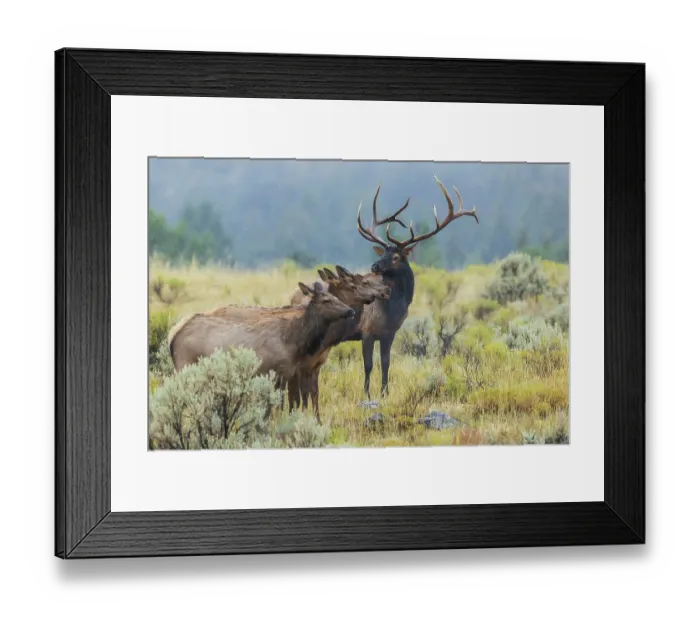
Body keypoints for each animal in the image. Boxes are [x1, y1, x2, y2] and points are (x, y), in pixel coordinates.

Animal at [168, 282, 355, 409]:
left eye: (336, 297)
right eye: (326, 300)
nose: (351, 310)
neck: (295, 341)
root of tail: (172, 335)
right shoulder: (276, 372)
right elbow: (279, 406)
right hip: (185, 365)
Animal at [286, 266, 391, 421]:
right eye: (360, 283)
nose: (386, 290)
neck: (326, 340)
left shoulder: (316, 364)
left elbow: (313, 391)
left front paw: (317, 419)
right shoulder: (302, 365)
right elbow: (302, 393)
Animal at [352, 175, 479, 400]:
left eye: (395, 256)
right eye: (383, 253)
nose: (374, 266)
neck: (391, 310)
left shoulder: (389, 334)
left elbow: (386, 363)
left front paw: (385, 392)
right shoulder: (366, 331)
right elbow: (368, 365)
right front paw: (366, 395)